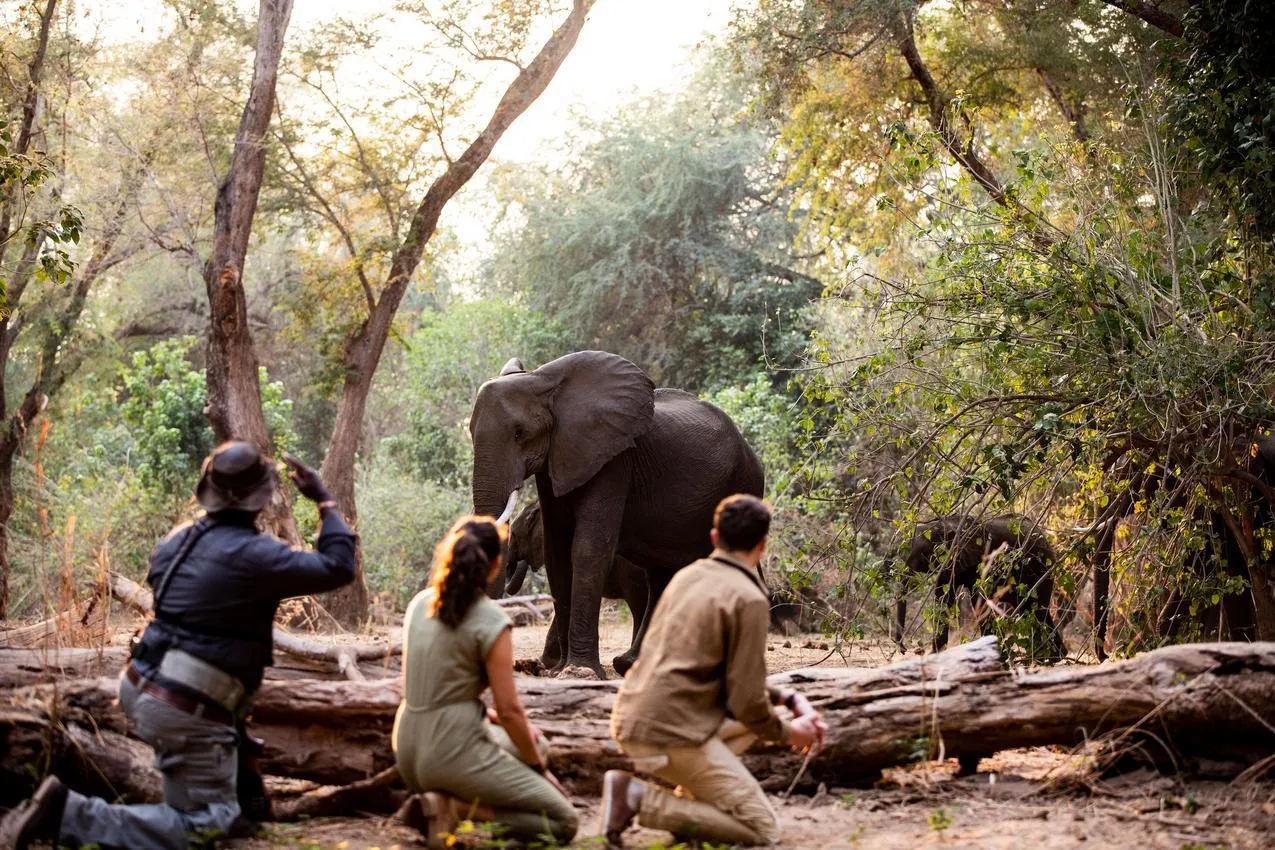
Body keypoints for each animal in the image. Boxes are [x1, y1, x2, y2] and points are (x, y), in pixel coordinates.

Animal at [892, 514, 1064, 660]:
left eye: (923, 554)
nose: (904, 649)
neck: (946, 524)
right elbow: (944, 601)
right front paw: (934, 654)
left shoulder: (980, 560)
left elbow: (978, 601)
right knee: (1031, 609)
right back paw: (1051, 657)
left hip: (1042, 566)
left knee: (1037, 609)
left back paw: (1046, 658)